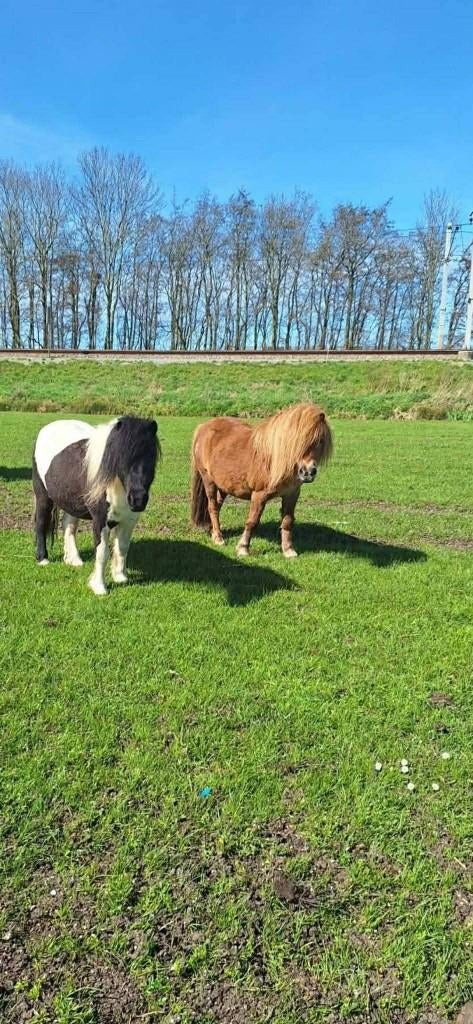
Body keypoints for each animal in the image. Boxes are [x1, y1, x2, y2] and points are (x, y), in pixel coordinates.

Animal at [33, 415, 160, 595]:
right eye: (121, 457)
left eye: (151, 456)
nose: (138, 499)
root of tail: (47, 428)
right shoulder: (100, 520)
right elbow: (102, 552)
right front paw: (99, 587)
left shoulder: (129, 520)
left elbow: (122, 547)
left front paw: (120, 577)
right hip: (43, 496)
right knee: (41, 523)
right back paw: (43, 559)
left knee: (68, 526)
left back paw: (74, 560)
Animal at [191, 402, 332, 558]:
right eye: (298, 441)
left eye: (320, 441)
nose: (307, 472)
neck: (274, 460)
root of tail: (203, 427)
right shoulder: (259, 495)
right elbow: (252, 521)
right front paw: (243, 548)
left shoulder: (292, 494)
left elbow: (287, 521)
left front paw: (288, 550)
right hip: (208, 480)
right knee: (213, 507)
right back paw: (218, 538)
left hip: (224, 485)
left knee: (217, 506)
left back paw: (213, 531)